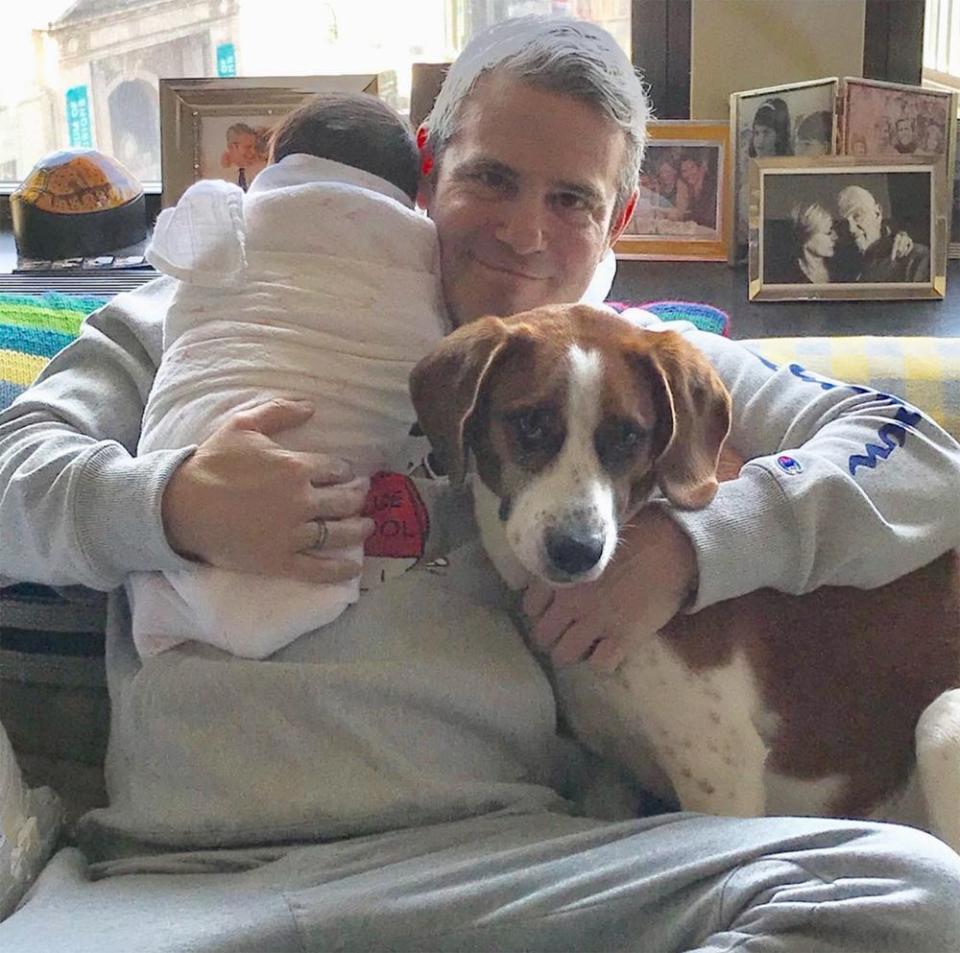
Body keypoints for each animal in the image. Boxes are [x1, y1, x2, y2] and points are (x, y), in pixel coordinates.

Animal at [410, 304, 960, 848]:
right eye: (529, 423)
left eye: (628, 434)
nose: (578, 551)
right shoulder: (610, 779)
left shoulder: (720, 768)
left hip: (940, 724)